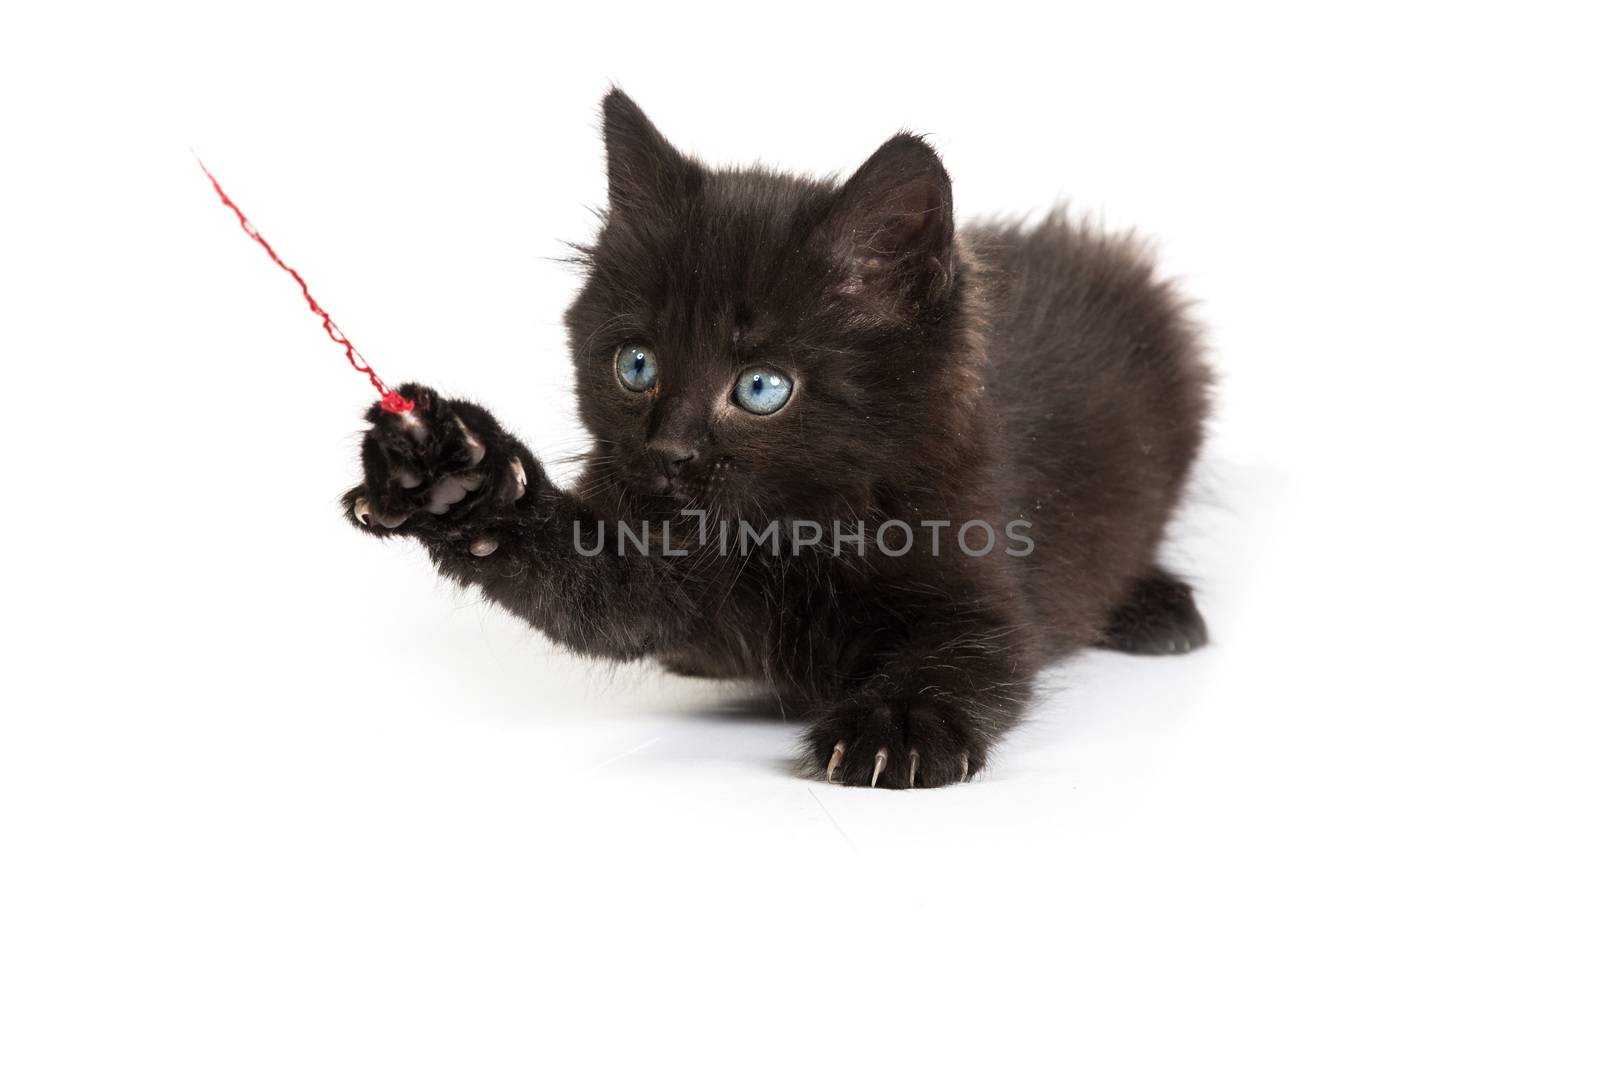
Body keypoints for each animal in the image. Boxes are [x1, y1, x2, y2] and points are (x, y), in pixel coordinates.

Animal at [344, 91, 1203, 790]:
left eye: (761, 388)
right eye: (636, 365)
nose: (668, 454)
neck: (789, 534)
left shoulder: (980, 578)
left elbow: (969, 656)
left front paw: (893, 728)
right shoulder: (650, 562)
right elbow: (581, 580)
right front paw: (454, 478)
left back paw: (1159, 608)